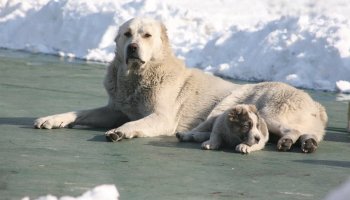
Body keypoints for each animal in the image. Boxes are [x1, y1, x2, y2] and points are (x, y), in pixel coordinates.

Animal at [34, 17, 326, 153]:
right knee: (309, 133)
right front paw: (53, 119)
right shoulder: (114, 109)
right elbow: (80, 112)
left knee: (291, 129)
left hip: (268, 109)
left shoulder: (161, 117)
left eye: (146, 35)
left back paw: (290, 141)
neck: (139, 76)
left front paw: (120, 132)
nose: (132, 47)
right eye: (127, 34)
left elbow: (136, 122)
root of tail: (317, 104)